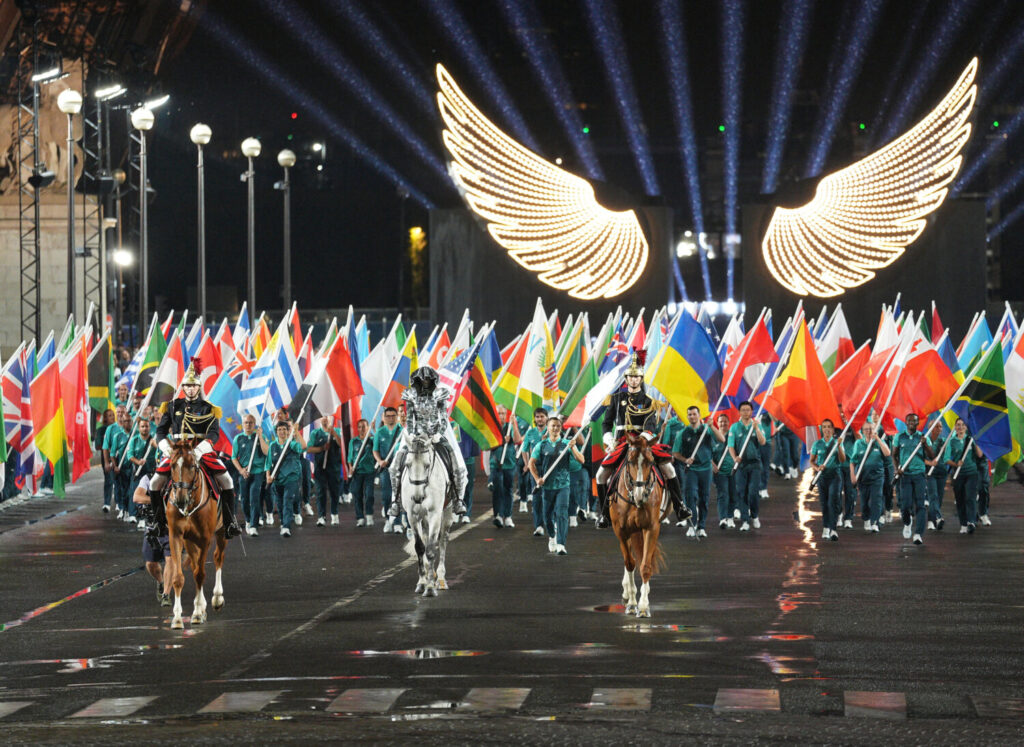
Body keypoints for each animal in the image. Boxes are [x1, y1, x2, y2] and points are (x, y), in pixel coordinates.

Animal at [165, 440, 228, 627]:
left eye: (192, 466)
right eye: (172, 466)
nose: (180, 499)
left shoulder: (205, 538)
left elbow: (200, 574)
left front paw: (198, 613)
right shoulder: (176, 536)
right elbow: (179, 577)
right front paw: (178, 618)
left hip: (221, 532)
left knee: (218, 558)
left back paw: (216, 598)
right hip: (190, 541)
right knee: (194, 565)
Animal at [399, 430, 452, 594]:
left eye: (427, 465)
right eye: (408, 464)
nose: (417, 497)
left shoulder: (435, 513)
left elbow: (431, 549)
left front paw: (429, 588)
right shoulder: (412, 516)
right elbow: (420, 547)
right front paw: (422, 582)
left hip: (447, 512)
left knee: (442, 541)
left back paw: (440, 579)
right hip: (424, 518)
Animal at [606, 430, 663, 618]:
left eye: (650, 461)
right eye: (630, 461)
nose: (640, 495)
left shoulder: (651, 528)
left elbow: (645, 565)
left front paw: (644, 606)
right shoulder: (621, 530)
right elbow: (630, 563)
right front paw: (632, 603)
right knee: (628, 558)